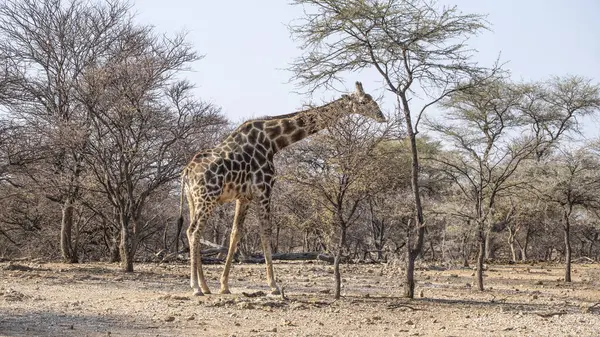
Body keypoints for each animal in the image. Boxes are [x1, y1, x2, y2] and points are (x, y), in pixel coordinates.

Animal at [178, 81, 384, 294]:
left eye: (372, 99)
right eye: (363, 102)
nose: (381, 116)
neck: (274, 141)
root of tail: (187, 172)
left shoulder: (244, 196)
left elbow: (236, 233)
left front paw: (224, 285)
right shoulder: (264, 188)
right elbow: (266, 232)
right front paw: (274, 285)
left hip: (194, 199)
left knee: (192, 232)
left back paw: (204, 286)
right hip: (207, 198)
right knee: (193, 231)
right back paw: (196, 286)